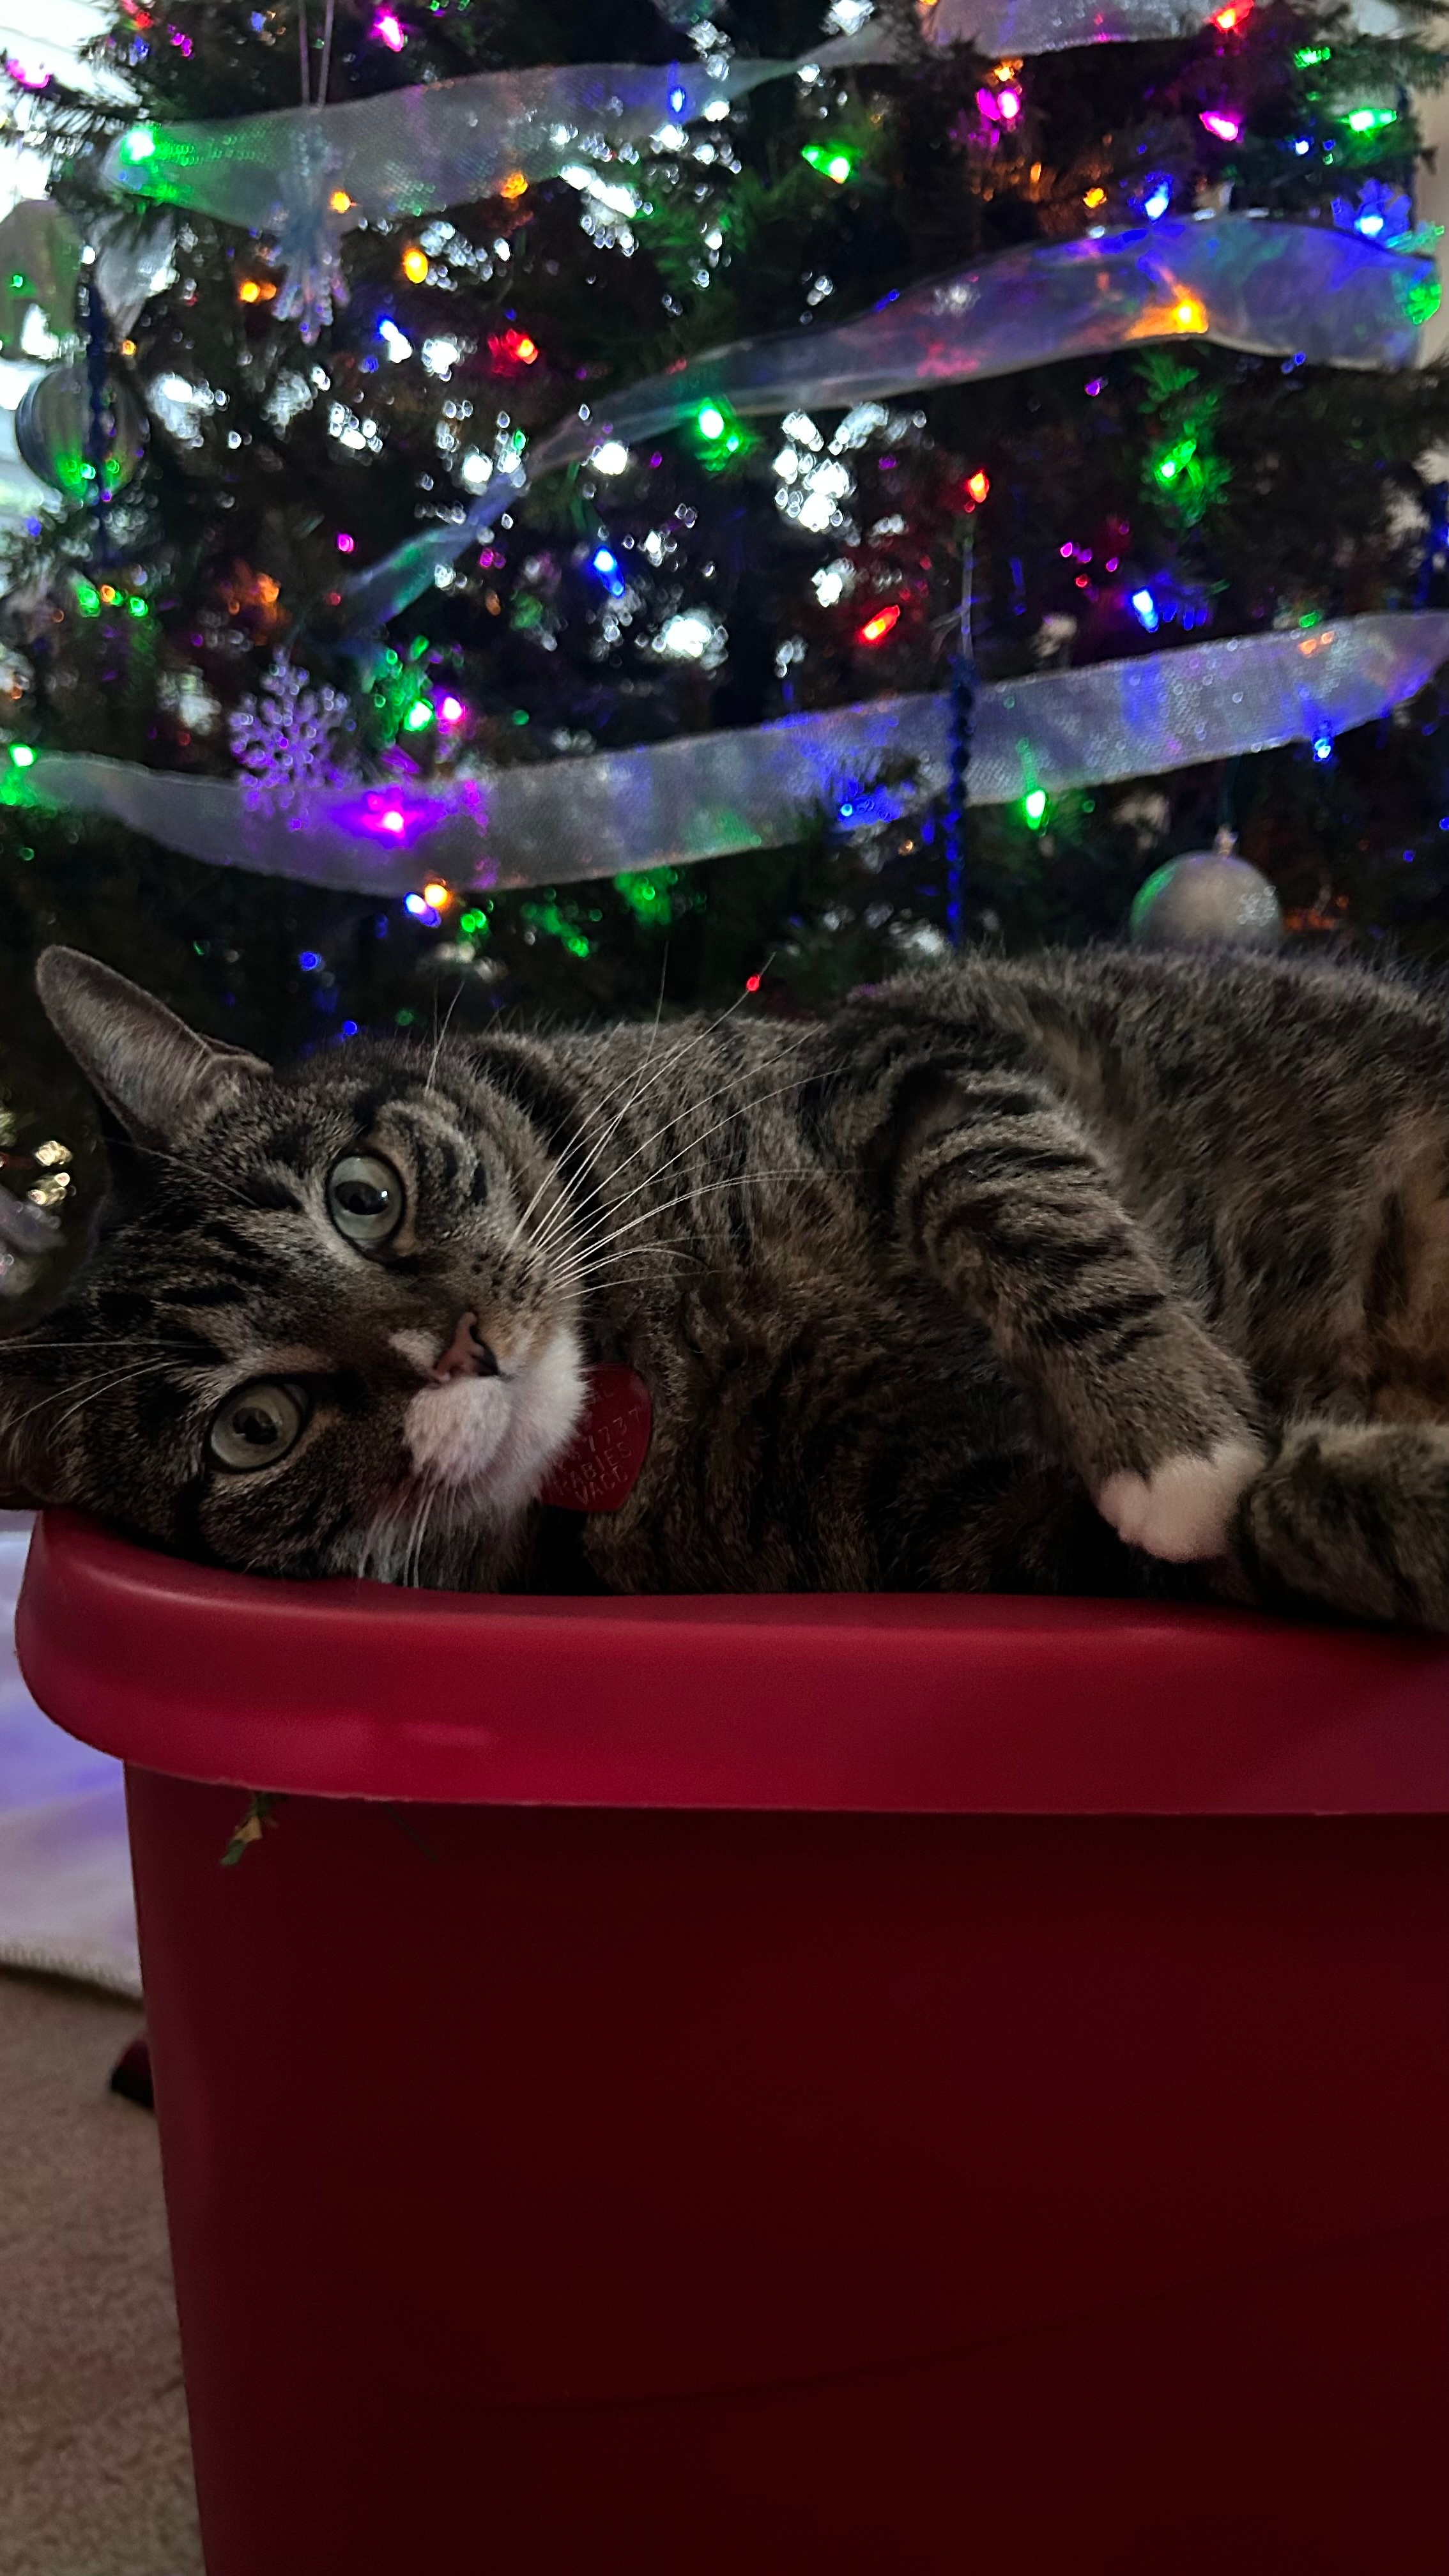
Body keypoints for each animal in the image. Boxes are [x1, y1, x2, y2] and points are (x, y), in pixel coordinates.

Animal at [3, 942, 1443, 1628]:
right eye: (255, 1430)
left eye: (360, 1195)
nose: (458, 1346)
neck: (654, 1349)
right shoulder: (978, 1527)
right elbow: (1286, 1522)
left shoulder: (893, 1056)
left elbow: (1016, 1192)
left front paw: (1170, 1432)